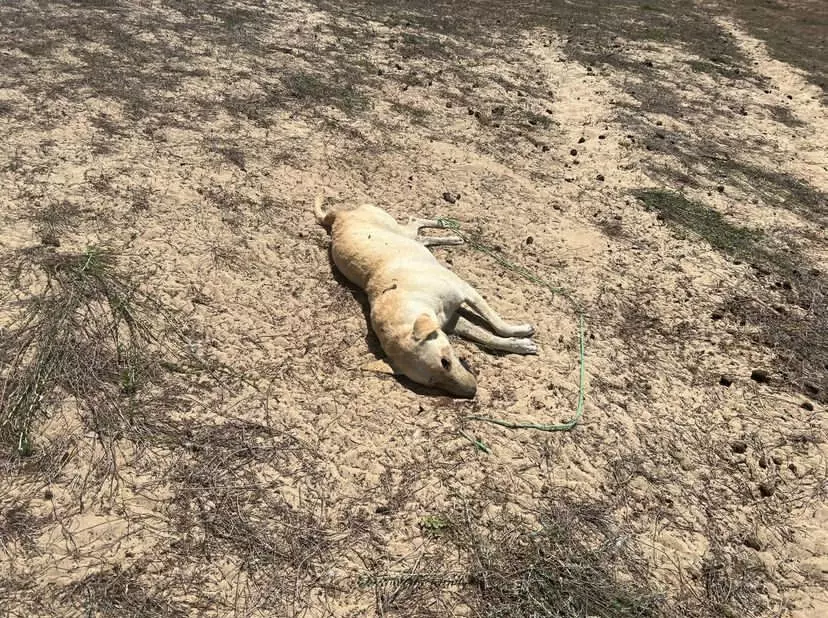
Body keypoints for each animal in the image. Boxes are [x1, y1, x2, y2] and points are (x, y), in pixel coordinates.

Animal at [316, 197, 536, 400]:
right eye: (432, 384)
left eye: (446, 362)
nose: (472, 392)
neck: (408, 299)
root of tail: (339, 216)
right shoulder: (452, 322)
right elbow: (486, 337)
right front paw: (519, 345)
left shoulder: (465, 290)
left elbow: (497, 325)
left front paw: (519, 332)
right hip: (406, 237)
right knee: (421, 236)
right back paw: (451, 236)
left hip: (396, 227)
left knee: (415, 221)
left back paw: (444, 225)